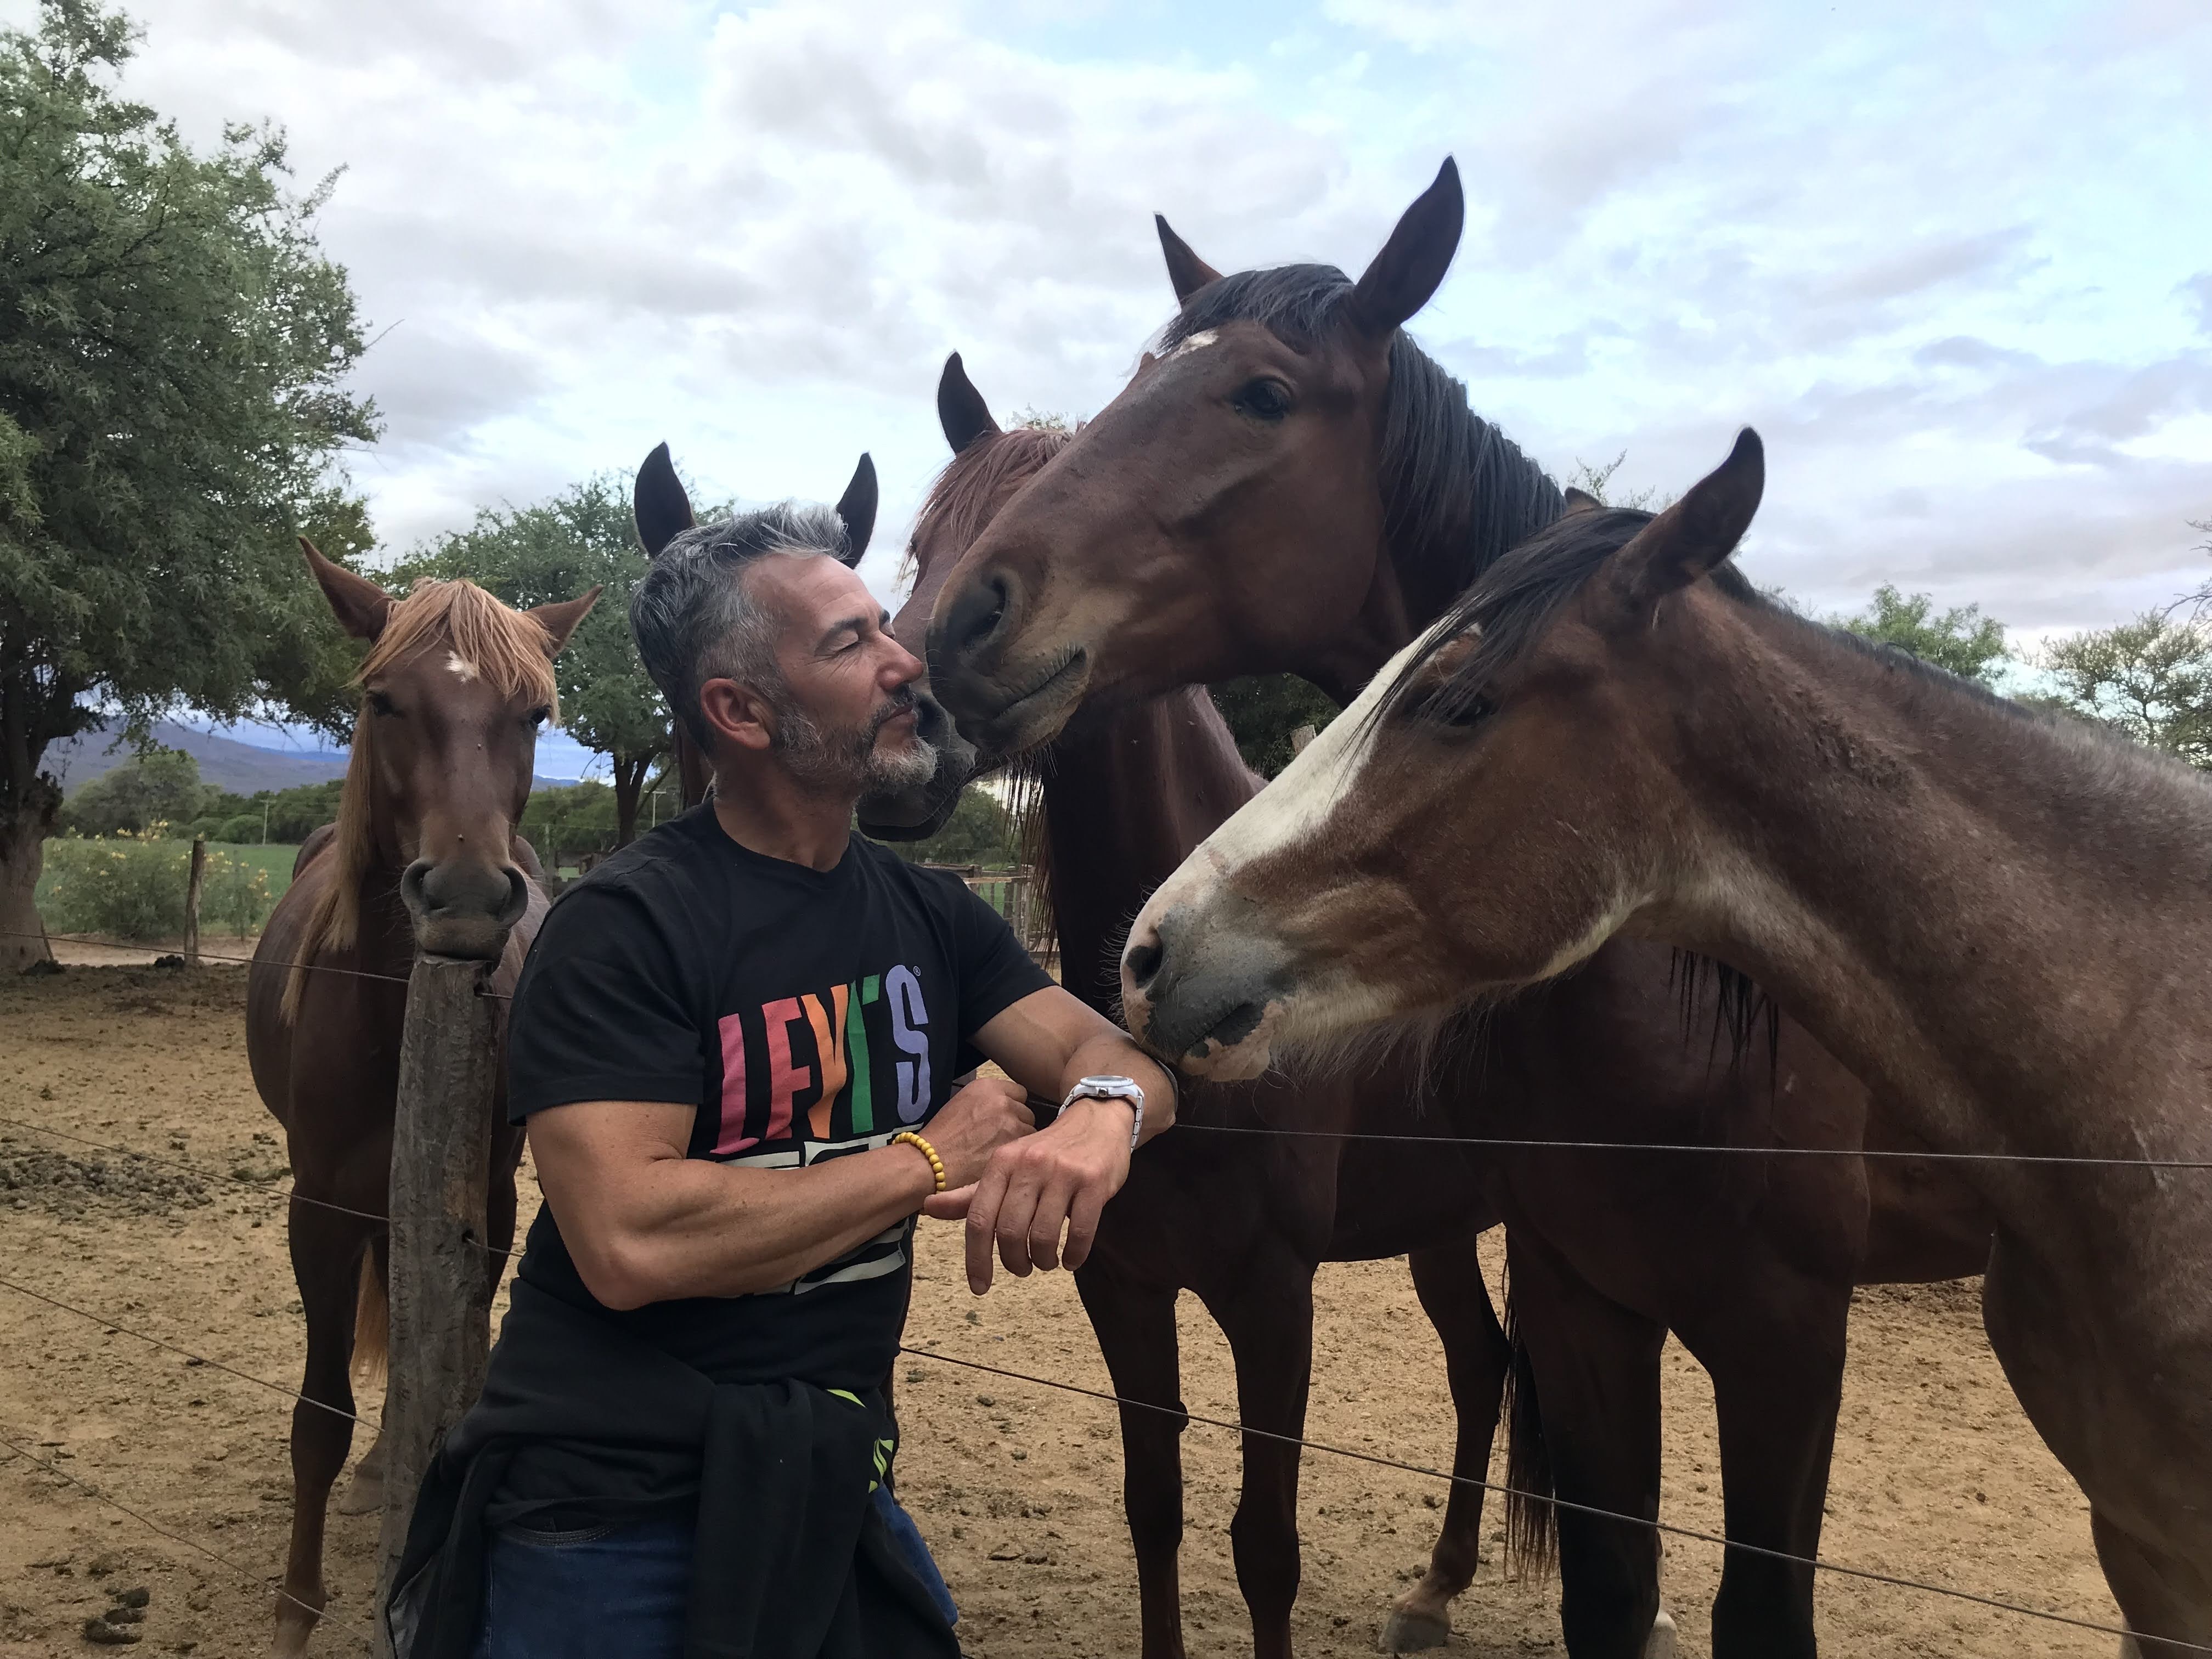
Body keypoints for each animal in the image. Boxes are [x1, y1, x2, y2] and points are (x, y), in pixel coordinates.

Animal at [245, 548, 597, 1659]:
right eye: (381, 699)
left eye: (535, 712)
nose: (469, 896)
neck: (390, 1008)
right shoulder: (316, 1208)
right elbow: (318, 1412)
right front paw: (295, 1603)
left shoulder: (481, 1200)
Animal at [911, 166, 1990, 1659]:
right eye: (917, 532)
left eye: (1260, 393)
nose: (944, 640)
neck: (1698, 989)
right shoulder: (1154, 1281)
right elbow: (1164, 1508)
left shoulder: (1775, 1340)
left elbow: (1266, 1542)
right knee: (1481, 1369)